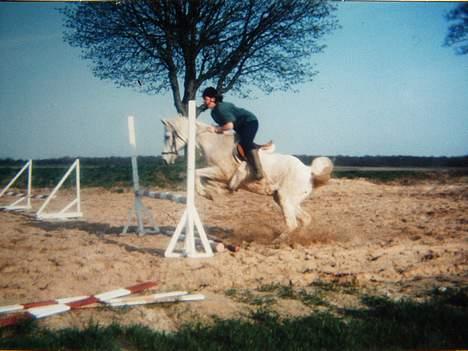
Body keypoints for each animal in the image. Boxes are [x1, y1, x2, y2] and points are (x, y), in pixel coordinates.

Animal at [161, 117, 332, 238]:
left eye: (167, 136)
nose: (165, 159)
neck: (214, 143)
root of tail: (309, 170)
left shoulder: (222, 172)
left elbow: (196, 173)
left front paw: (209, 194)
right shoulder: (218, 174)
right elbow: (204, 178)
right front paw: (216, 192)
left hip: (286, 198)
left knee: (292, 223)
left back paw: (279, 240)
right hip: (285, 199)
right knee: (305, 219)